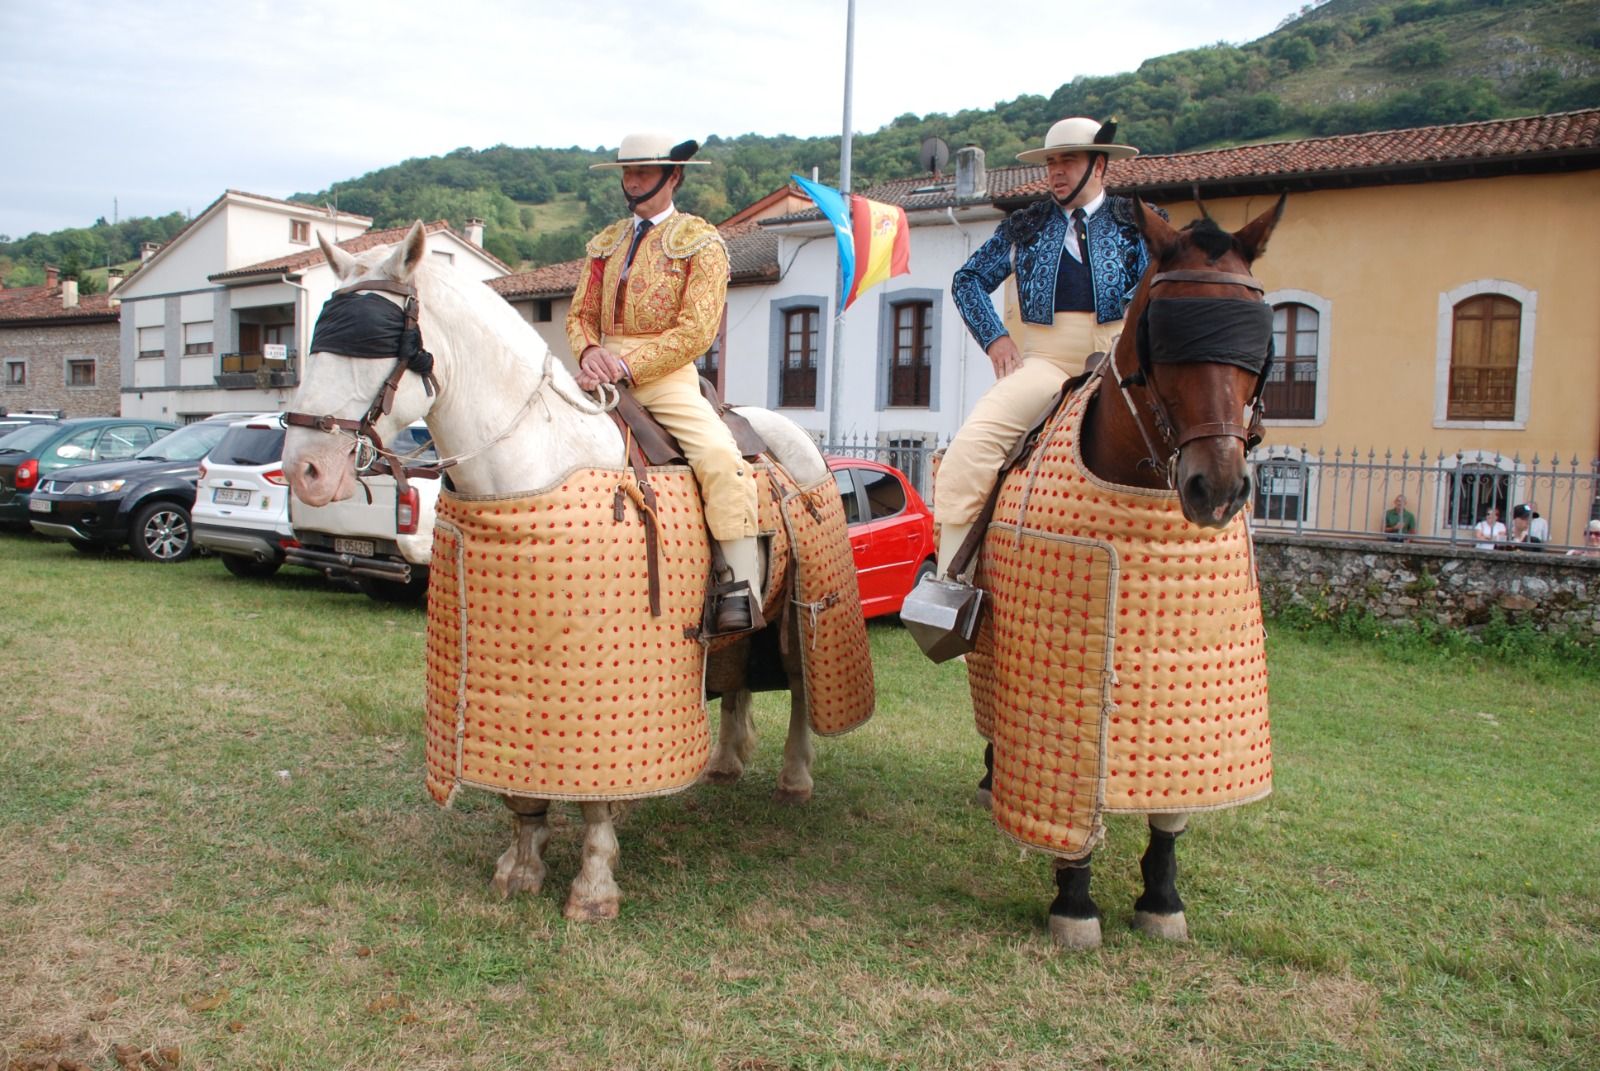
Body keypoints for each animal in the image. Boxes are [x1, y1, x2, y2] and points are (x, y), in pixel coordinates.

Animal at [286, 219, 838, 922]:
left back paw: (795, 777)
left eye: (376, 342)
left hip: (798, 607)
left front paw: (594, 885)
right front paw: (521, 865)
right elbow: (526, 788)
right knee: (740, 672)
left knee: (798, 683)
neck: (539, 449)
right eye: (320, 337)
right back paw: (723, 763)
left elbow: (598, 797)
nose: (304, 469)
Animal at [960, 192, 1286, 941]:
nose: (1216, 487)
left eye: (1259, 343)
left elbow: (1170, 812)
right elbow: (1070, 793)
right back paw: (993, 779)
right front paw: (1074, 901)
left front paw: (1161, 897)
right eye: (1161, 334)